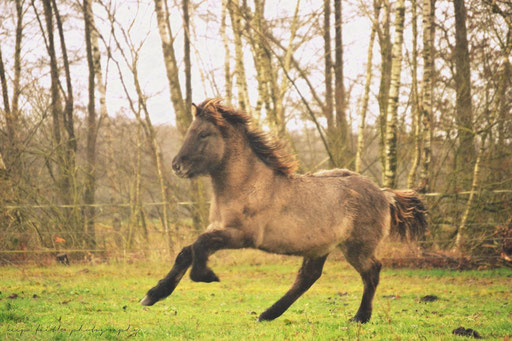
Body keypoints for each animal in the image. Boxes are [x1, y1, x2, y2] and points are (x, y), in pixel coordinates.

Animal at [140, 97, 428, 322]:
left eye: (203, 134)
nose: (177, 166)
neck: (247, 185)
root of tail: (384, 194)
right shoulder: (218, 229)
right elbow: (185, 252)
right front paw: (153, 295)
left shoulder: (240, 236)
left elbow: (198, 246)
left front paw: (206, 276)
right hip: (319, 248)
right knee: (308, 278)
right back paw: (268, 314)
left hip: (356, 247)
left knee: (372, 272)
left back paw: (360, 317)